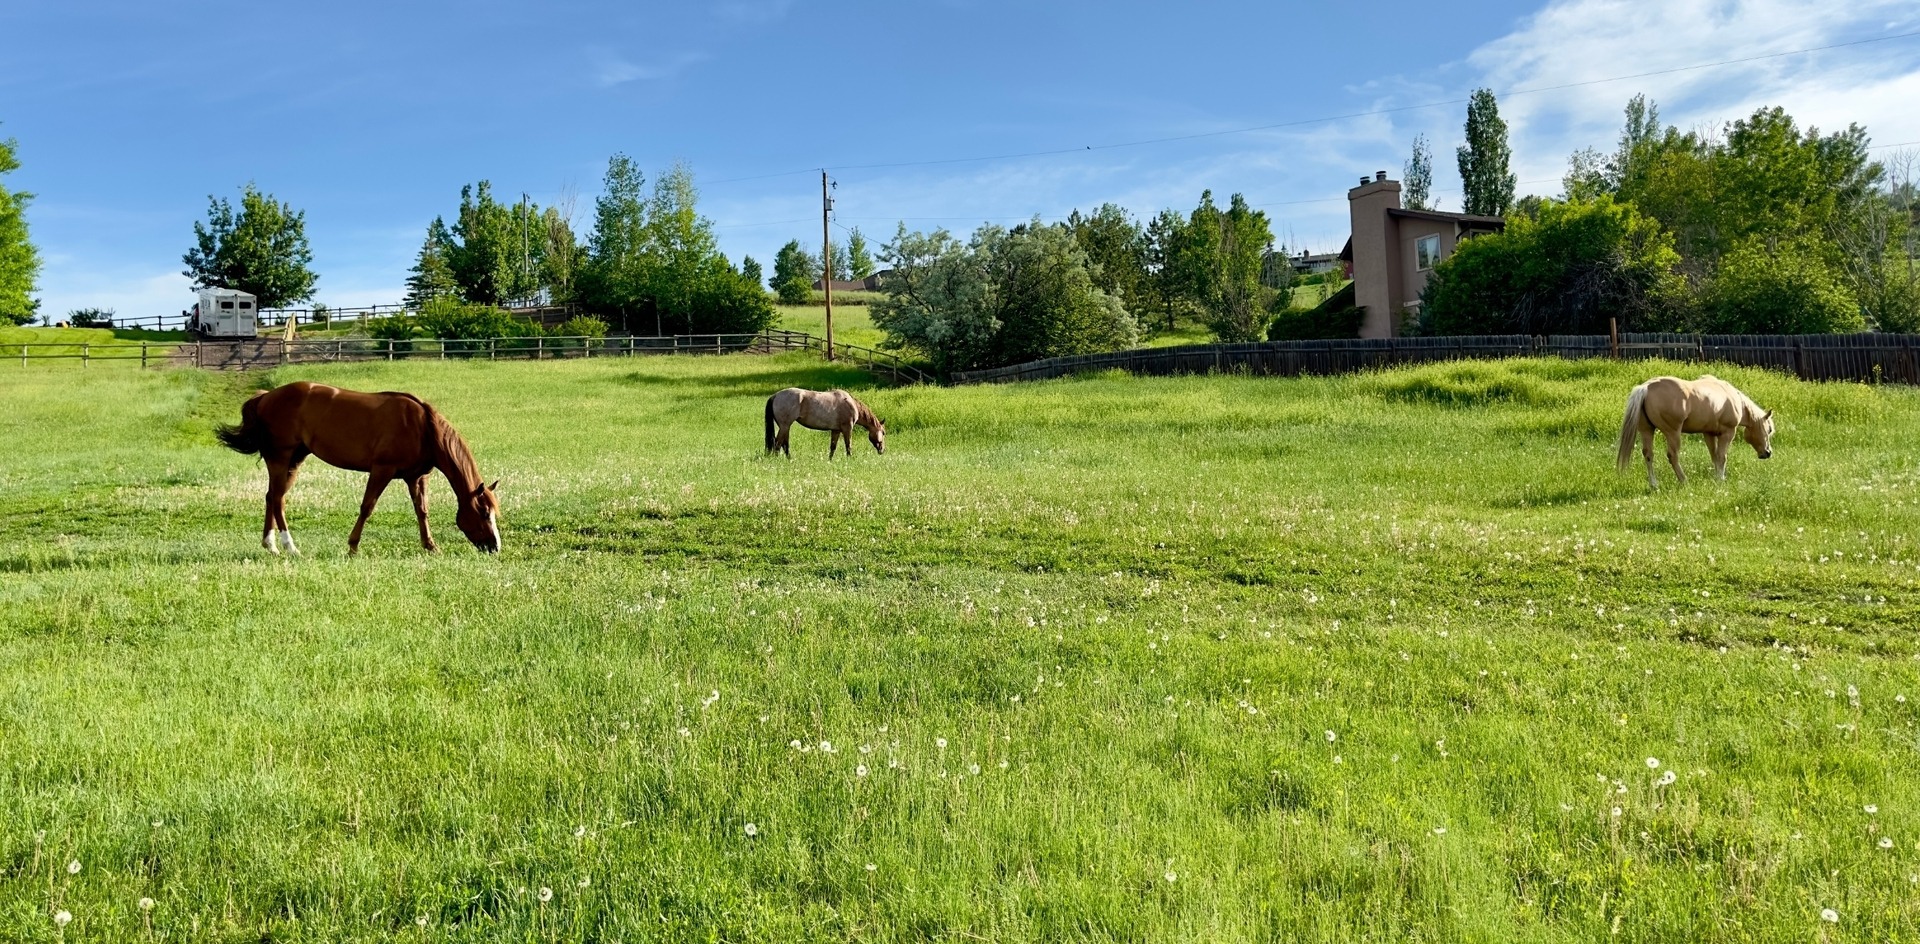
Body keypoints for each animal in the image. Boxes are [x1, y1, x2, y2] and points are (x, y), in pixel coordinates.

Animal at [216, 379, 503, 552]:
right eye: (483, 513)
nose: (495, 546)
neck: (423, 428)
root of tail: (265, 397)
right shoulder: (382, 470)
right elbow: (367, 507)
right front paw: (353, 546)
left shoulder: (416, 477)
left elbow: (421, 511)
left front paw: (431, 546)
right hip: (281, 457)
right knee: (277, 499)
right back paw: (290, 546)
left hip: (293, 460)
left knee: (271, 497)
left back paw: (271, 545)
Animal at [1612, 374, 1774, 491]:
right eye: (1769, 429)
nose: (1767, 453)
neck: (1732, 398)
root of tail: (1646, 387)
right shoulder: (1728, 433)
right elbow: (1722, 457)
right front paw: (1721, 479)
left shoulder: (1708, 434)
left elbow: (1715, 457)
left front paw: (1716, 477)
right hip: (1673, 433)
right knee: (1673, 456)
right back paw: (1684, 480)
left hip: (1647, 431)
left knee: (1648, 455)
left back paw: (1654, 484)